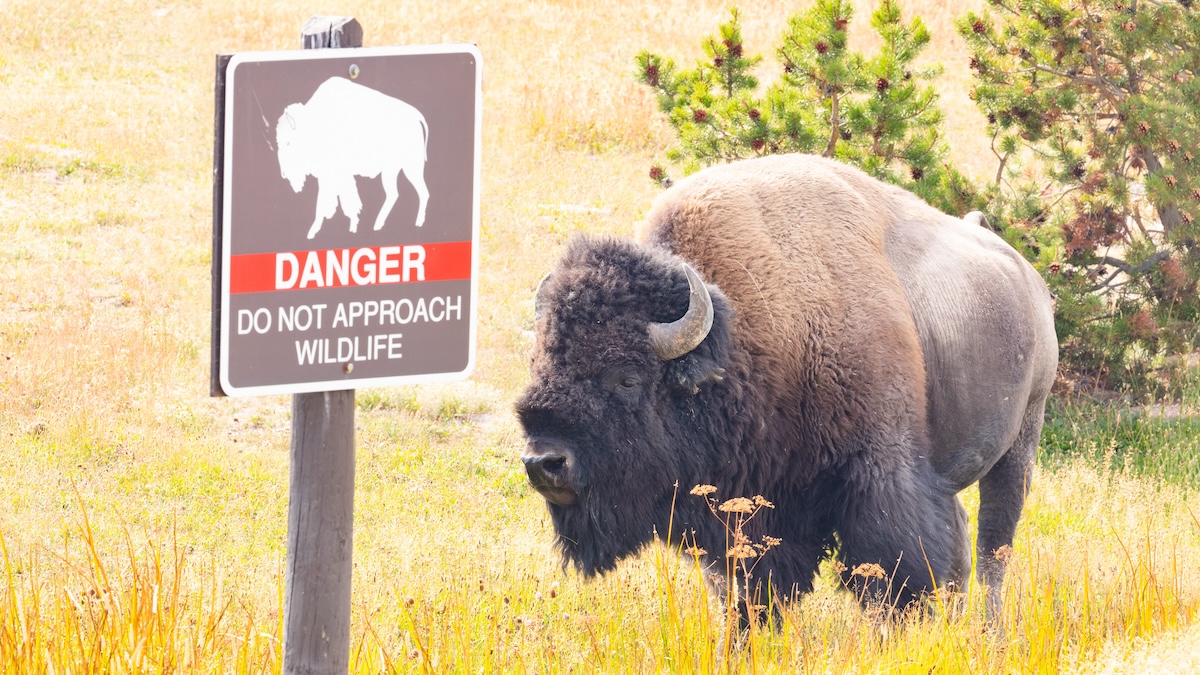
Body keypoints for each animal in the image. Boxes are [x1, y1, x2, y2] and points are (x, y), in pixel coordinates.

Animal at [276, 75, 432, 237]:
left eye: (288, 142)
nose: (284, 173)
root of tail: (416, 117)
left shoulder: (334, 174)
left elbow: (331, 202)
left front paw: (314, 231)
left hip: (409, 168)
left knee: (418, 192)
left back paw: (413, 223)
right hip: (394, 170)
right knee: (399, 193)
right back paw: (380, 224)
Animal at [516, 152, 1060, 614]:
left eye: (628, 378)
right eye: (539, 363)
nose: (544, 463)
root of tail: (1028, 279)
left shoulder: (879, 475)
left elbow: (892, 572)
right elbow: (745, 588)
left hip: (1020, 443)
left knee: (993, 549)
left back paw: (987, 630)